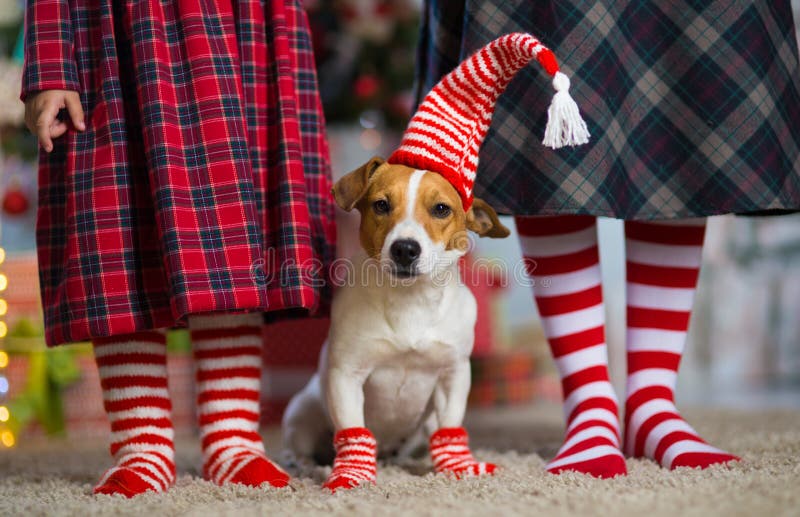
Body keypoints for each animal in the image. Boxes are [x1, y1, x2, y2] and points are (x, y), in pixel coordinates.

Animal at [282, 156, 506, 488]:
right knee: (298, 448)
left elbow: (450, 426)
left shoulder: (453, 375)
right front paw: (352, 473)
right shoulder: (346, 375)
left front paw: (457, 467)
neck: (410, 298)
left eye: (441, 209)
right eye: (381, 205)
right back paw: (300, 466)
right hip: (302, 413)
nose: (405, 249)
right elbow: (352, 431)